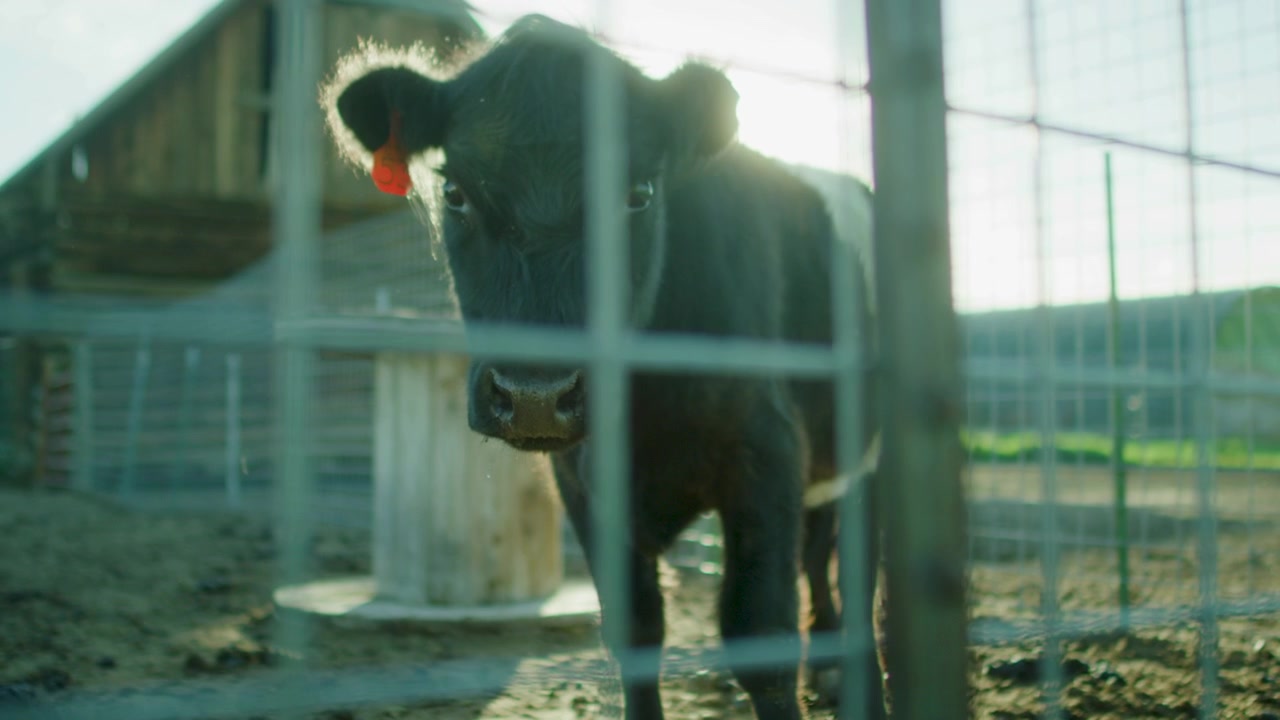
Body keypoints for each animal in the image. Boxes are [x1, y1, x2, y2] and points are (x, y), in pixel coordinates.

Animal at [322, 15, 885, 720]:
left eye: (638, 194)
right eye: (454, 192)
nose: (535, 395)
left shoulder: (764, 447)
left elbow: (762, 639)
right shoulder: (581, 481)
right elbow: (634, 630)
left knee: (860, 572)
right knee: (819, 550)